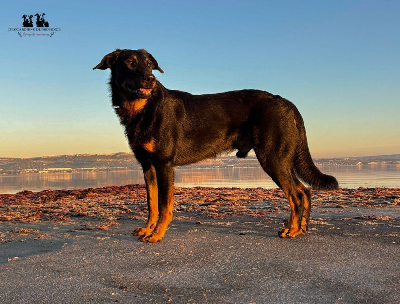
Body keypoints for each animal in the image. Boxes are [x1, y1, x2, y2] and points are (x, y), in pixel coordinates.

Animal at [94, 49, 340, 242]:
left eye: (149, 64)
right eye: (130, 62)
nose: (150, 79)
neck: (143, 108)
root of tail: (287, 103)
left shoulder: (164, 165)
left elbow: (164, 206)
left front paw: (157, 234)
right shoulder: (148, 166)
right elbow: (152, 204)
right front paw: (148, 229)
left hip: (273, 159)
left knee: (296, 193)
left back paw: (293, 230)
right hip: (280, 160)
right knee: (304, 191)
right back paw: (300, 228)